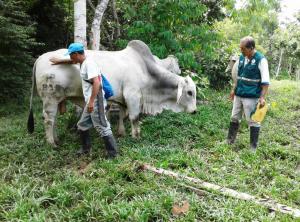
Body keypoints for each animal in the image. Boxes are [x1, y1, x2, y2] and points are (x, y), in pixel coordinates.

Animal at [27, 40, 197, 146]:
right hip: (50, 99)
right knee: (49, 119)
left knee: (53, 120)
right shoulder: (133, 96)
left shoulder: (123, 98)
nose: (195, 111)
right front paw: (136, 136)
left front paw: (121, 132)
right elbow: (134, 117)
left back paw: (56, 139)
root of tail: (40, 58)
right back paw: (52, 143)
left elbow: (122, 114)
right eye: (189, 92)